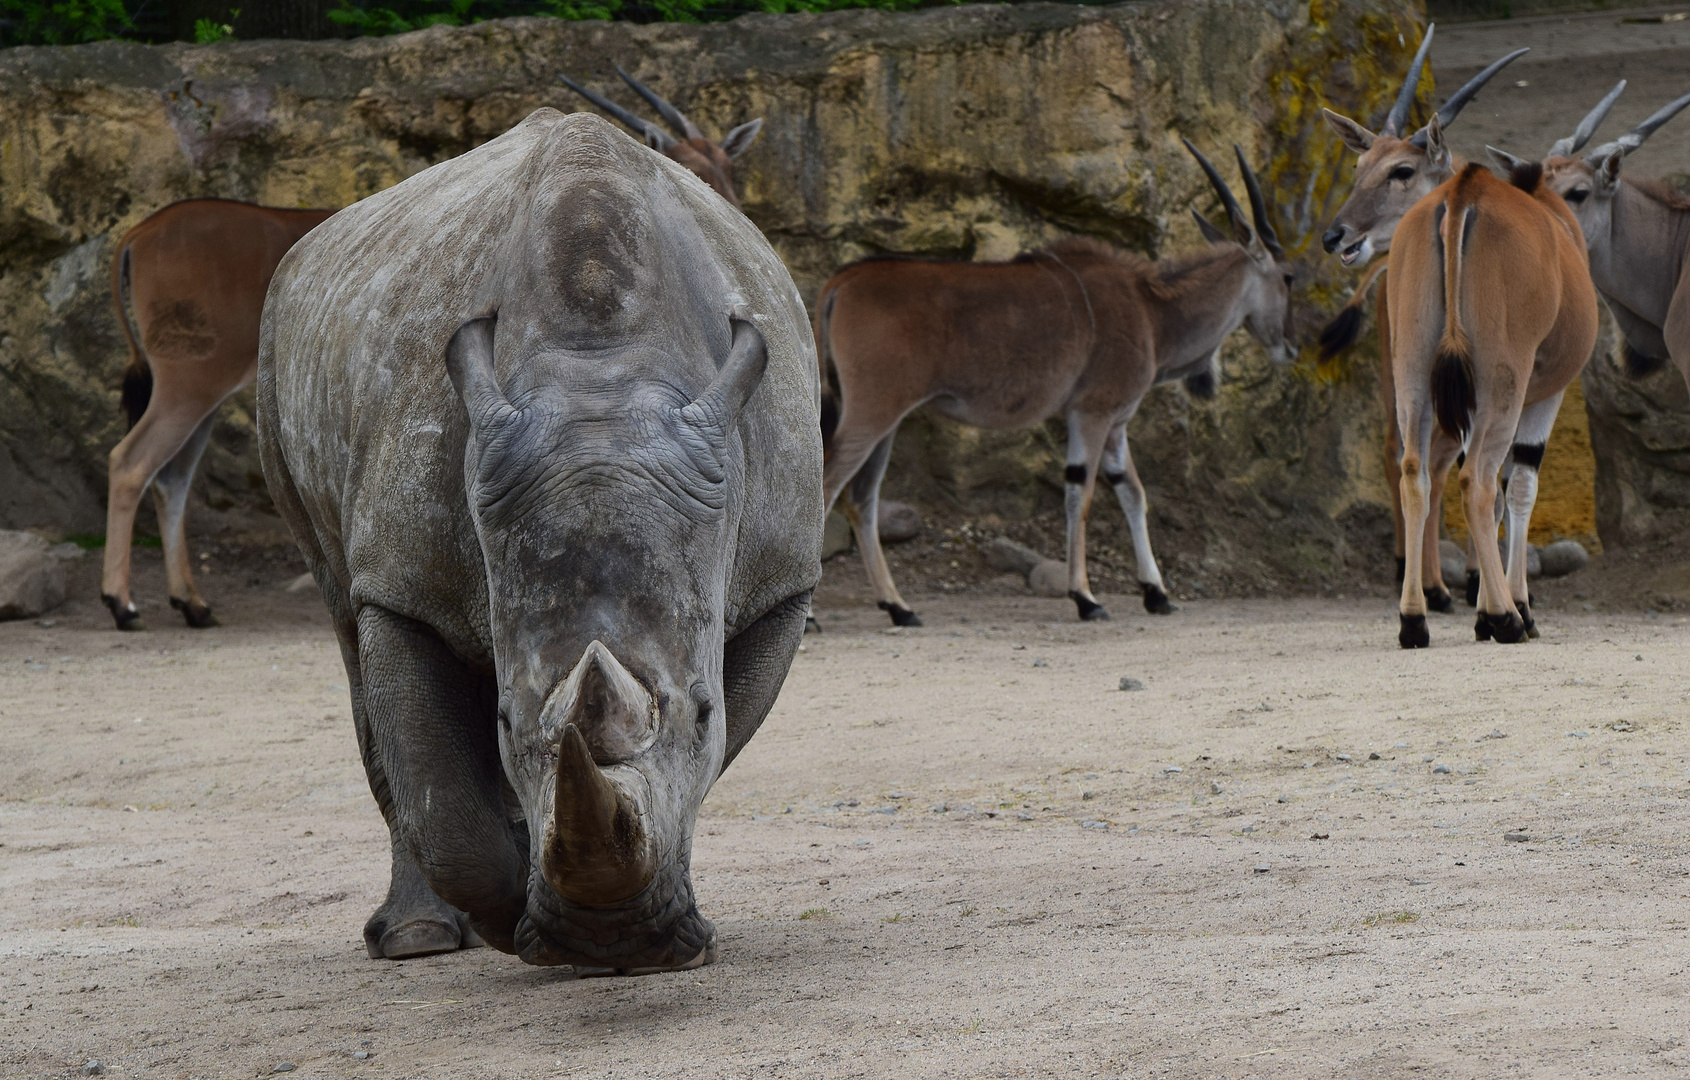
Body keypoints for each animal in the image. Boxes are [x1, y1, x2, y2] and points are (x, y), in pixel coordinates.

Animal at [817, 141, 1291, 625]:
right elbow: (1081, 492)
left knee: (862, 498)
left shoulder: (1115, 423)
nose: (1290, 347)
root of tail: (841, 281)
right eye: (1288, 277)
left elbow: (1133, 493)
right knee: (829, 486)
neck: (1151, 310)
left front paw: (1156, 593)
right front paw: (1086, 597)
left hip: (887, 421)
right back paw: (817, 615)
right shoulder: (1093, 412)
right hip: (872, 413)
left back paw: (899, 607)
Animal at [1311, 27, 1541, 608]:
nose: (1335, 237)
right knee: (1436, 465)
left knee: (1412, 459)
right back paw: (1436, 587)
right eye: (1358, 168)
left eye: (1402, 169)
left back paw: (1423, 582)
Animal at [1385, 144, 1595, 649]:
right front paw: (1513, 606)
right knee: (1476, 482)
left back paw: (1414, 620)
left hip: (1414, 379)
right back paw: (1507, 619)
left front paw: (1480, 608)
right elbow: (1518, 490)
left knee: (1416, 475)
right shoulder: (1543, 397)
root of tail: (1464, 193)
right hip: (1505, 384)